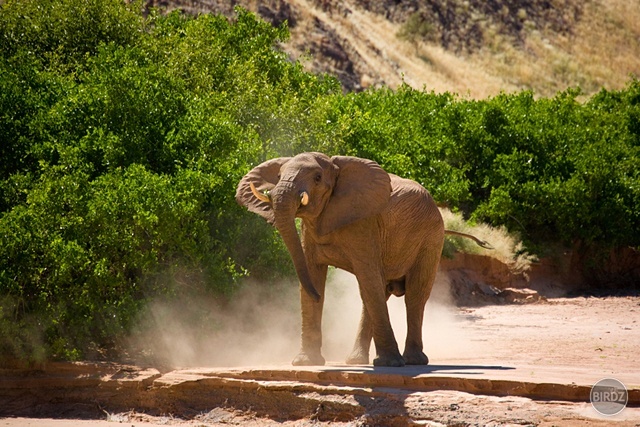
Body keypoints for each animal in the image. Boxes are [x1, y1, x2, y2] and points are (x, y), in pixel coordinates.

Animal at [235, 152, 490, 366]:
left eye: (317, 178)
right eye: (278, 176)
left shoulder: (364, 225)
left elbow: (368, 278)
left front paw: (390, 364)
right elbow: (315, 276)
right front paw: (305, 363)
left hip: (431, 238)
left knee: (413, 295)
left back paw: (412, 361)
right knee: (374, 293)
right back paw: (356, 362)